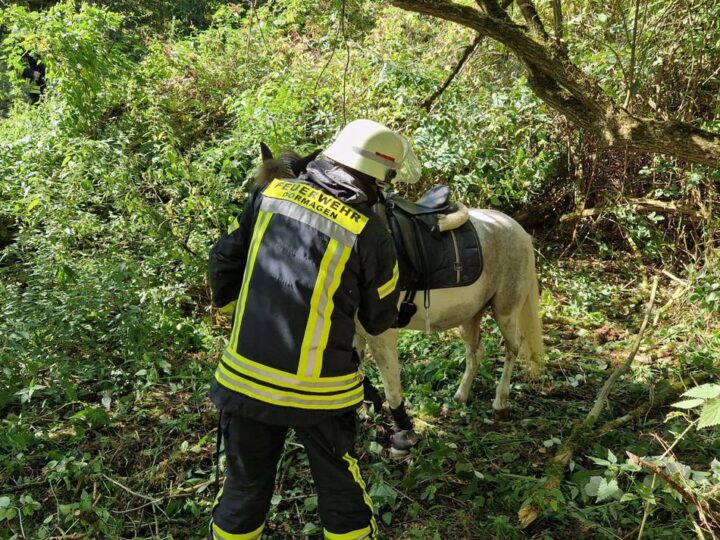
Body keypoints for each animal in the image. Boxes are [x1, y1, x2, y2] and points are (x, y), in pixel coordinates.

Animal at [255, 145, 545, 454]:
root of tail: (516, 228)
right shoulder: (354, 331)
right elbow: (356, 370)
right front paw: (363, 411)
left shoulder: (382, 333)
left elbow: (390, 382)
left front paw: (402, 433)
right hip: (469, 315)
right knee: (474, 353)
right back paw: (460, 396)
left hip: (505, 309)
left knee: (513, 348)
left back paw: (500, 403)